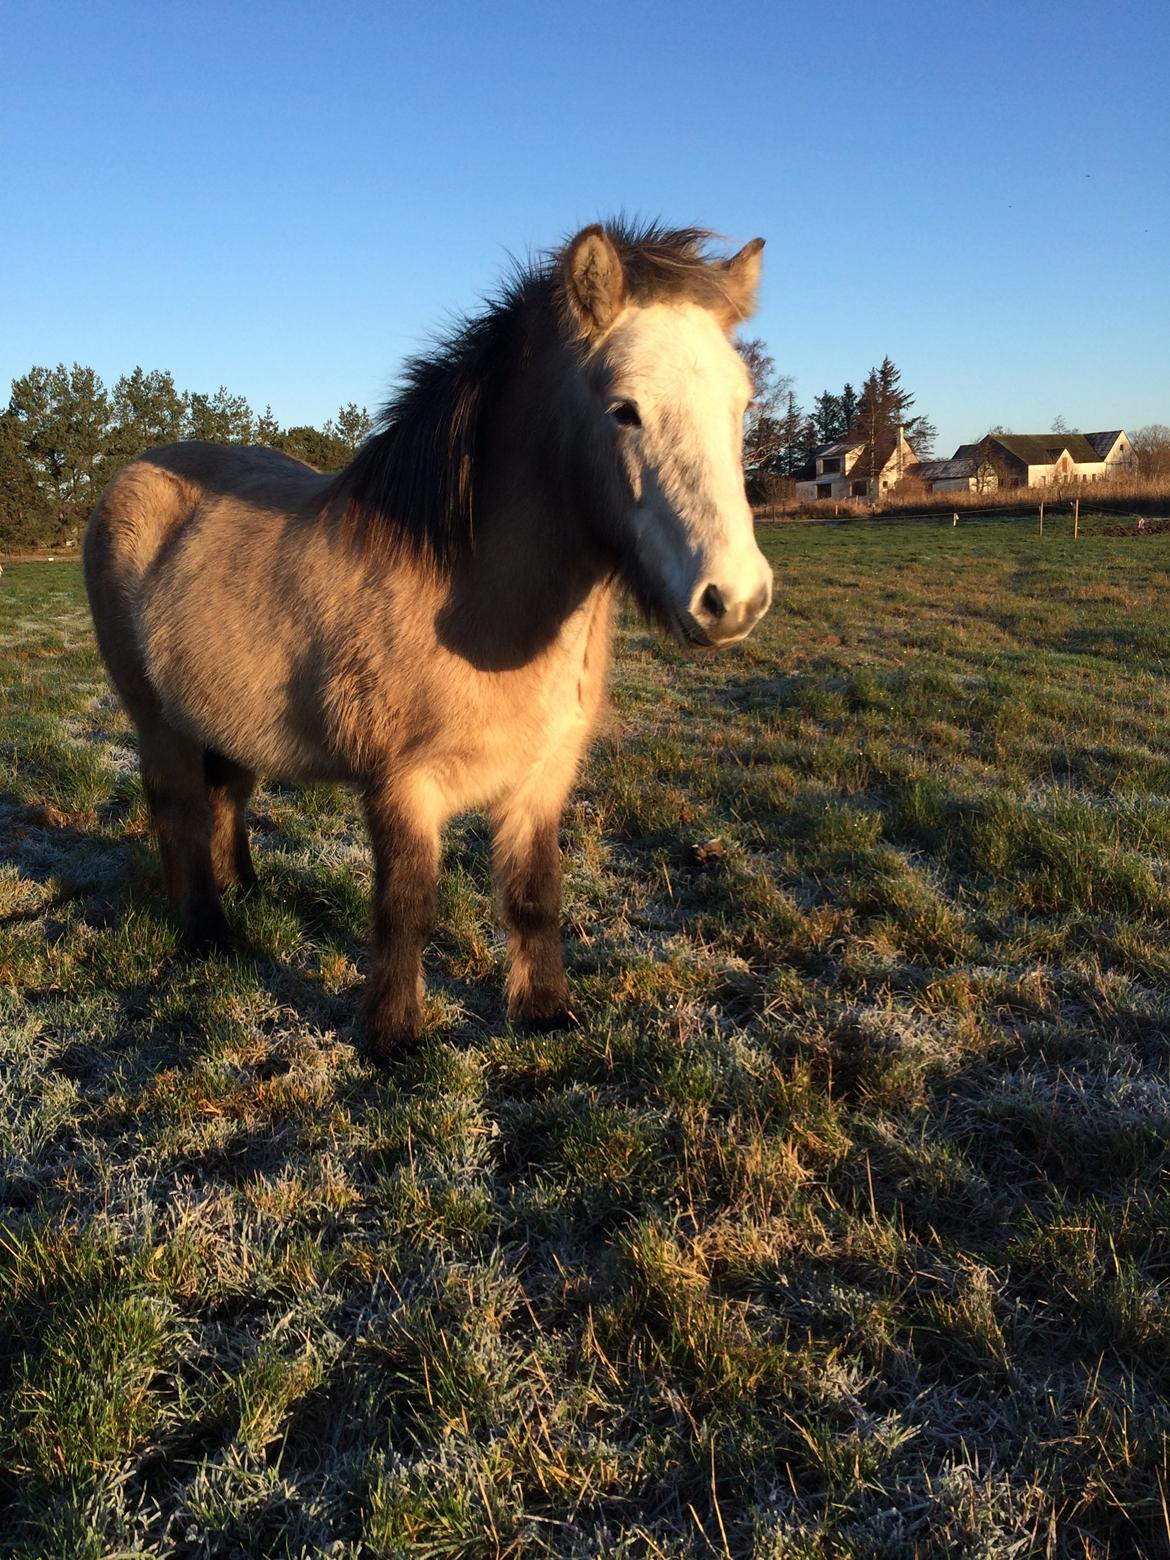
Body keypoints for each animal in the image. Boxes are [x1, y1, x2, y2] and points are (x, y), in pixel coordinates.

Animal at [84, 219, 780, 1067]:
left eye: (741, 404)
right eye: (624, 410)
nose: (732, 600)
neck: (469, 593)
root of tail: (130, 482)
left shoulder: (541, 780)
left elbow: (534, 897)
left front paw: (544, 1013)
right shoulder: (400, 787)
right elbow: (407, 906)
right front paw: (392, 1038)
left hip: (222, 719)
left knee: (226, 799)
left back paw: (247, 893)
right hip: (158, 723)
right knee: (180, 807)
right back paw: (210, 936)